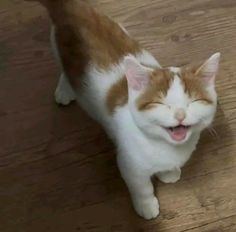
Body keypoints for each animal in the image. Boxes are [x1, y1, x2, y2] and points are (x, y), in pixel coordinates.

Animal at [26, 0, 220, 219]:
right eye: (161, 103)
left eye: (192, 102)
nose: (180, 115)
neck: (165, 147)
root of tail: (73, 7)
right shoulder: (129, 164)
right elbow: (142, 187)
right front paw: (146, 206)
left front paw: (168, 172)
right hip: (57, 49)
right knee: (64, 70)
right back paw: (65, 89)